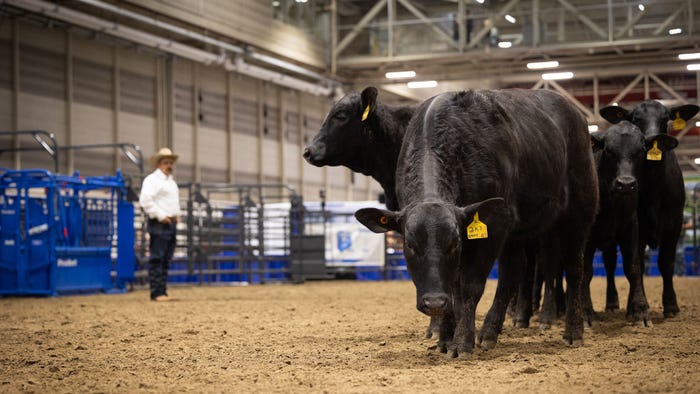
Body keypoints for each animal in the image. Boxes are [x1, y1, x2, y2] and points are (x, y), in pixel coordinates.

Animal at [356, 89, 596, 358]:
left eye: (454, 244)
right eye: (410, 245)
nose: (434, 302)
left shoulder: (492, 226)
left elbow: (470, 286)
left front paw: (461, 342)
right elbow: (455, 288)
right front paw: (445, 338)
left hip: (579, 211)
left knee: (574, 269)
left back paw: (573, 331)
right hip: (518, 230)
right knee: (514, 271)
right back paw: (490, 332)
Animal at [584, 121, 680, 324]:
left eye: (641, 151)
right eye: (609, 151)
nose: (626, 184)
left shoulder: (631, 228)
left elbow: (633, 267)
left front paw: (640, 311)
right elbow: (585, 272)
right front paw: (586, 313)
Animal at [600, 101, 696, 318]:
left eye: (665, 119)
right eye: (636, 119)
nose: (652, 137)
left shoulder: (675, 223)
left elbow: (666, 262)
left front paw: (671, 306)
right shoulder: (637, 224)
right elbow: (638, 264)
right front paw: (633, 307)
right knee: (610, 263)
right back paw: (612, 303)